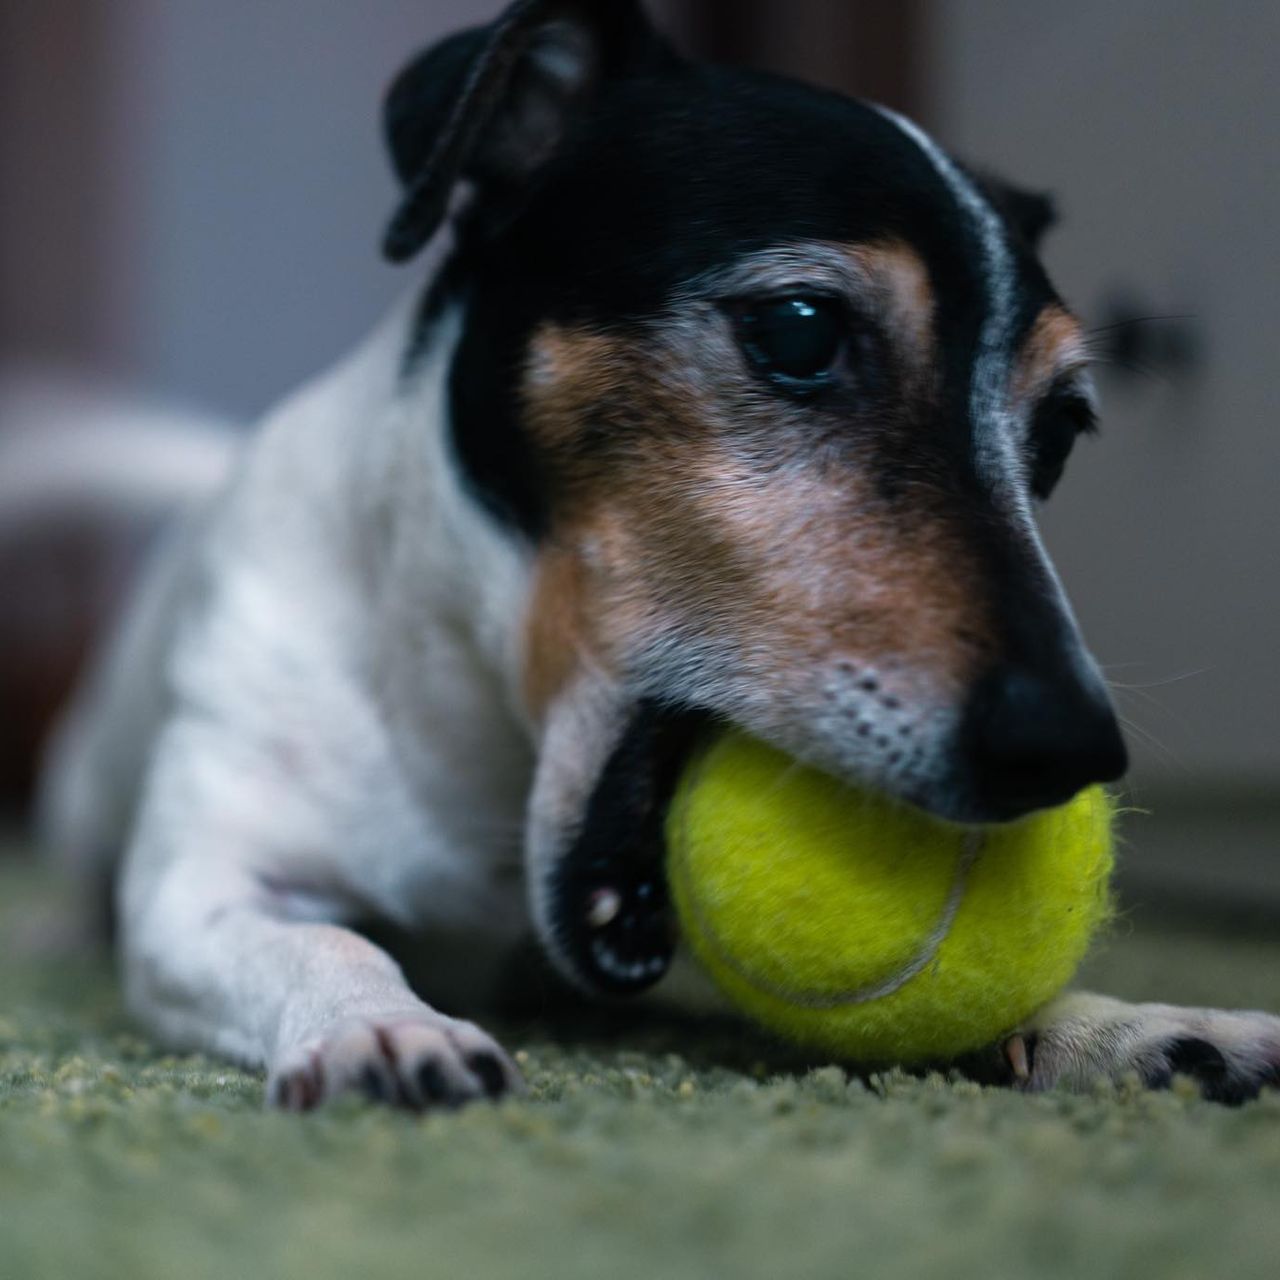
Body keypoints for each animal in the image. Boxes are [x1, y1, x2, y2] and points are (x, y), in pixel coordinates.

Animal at [35, 0, 1274, 1105]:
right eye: (798, 330)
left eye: (1060, 427)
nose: (1069, 747)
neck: (484, 738)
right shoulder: (204, 887)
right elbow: (328, 940)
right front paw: (381, 1024)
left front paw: (1122, 1022)